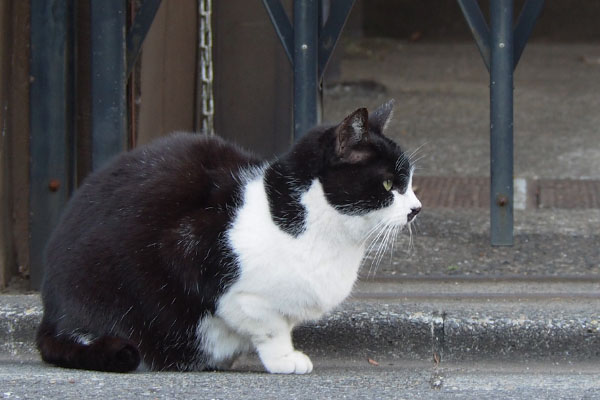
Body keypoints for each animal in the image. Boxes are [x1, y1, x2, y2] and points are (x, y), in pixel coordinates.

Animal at [36, 100, 422, 376]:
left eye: (410, 182)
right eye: (389, 184)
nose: (416, 208)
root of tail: (50, 314)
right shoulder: (193, 252)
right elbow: (269, 324)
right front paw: (284, 358)